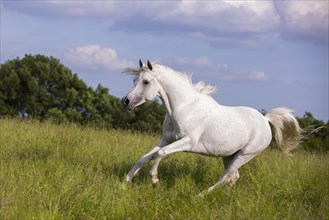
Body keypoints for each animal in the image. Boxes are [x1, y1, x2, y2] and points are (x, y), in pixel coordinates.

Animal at [121, 59, 302, 195]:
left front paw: (155, 181)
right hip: (229, 155)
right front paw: (125, 183)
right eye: (134, 80)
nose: (126, 101)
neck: (184, 107)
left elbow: (160, 153)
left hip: (245, 154)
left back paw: (201, 195)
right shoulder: (166, 139)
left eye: (145, 82)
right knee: (233, 176)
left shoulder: (188, 142)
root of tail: (265, 119)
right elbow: (144, 158)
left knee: (226, 176)